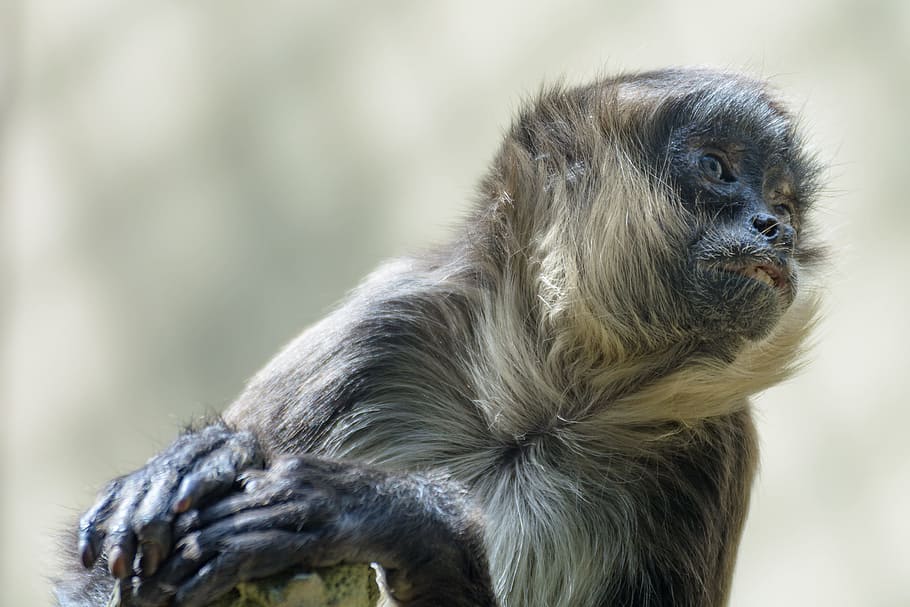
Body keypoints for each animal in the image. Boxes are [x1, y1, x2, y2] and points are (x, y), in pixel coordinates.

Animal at [54, 67, 824, 607]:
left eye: (783, 204)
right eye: (718, 168)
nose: (775, 230)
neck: (541, 411)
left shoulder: (712, 444)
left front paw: (399, 520)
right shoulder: (382, 328)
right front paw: (202, 460)